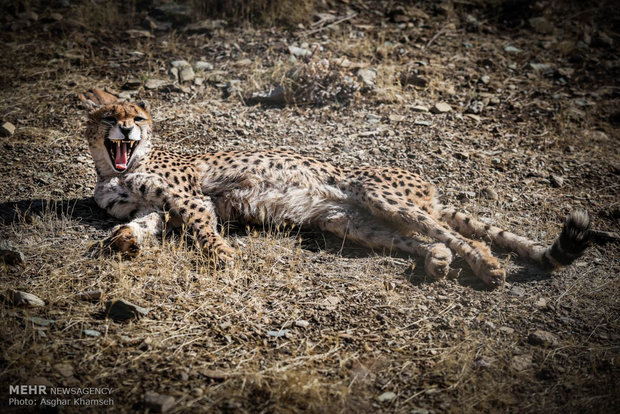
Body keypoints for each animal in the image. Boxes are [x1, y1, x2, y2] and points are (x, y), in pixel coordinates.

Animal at [83, 100, 592, 288]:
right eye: (109, 115)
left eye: (137, 117)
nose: (126, 128)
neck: (114, 168)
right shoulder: (169, 205)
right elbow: (145, 221)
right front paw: (124, 240)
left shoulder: (191, 197)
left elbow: (204, 231)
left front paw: (222, 257)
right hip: (351, 222)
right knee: (420, 238)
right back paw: (436, 261)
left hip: (379, 195)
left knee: (456, 233)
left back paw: (485, 266)